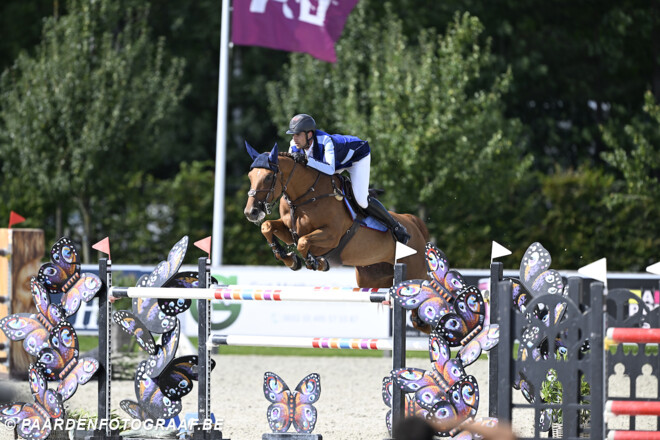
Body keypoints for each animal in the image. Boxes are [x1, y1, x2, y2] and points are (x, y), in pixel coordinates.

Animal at [245, 143, 430, 288]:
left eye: (268, 177)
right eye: (250, 176)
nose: (250, 212)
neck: (306, 197)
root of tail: (412, 221)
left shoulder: (331, 236)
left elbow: (304, 242)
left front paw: (314, 262)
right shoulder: (291, 232)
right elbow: (267, 226)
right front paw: (289, 258)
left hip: (415, 271)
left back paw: (401, 232)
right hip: (371, 277)